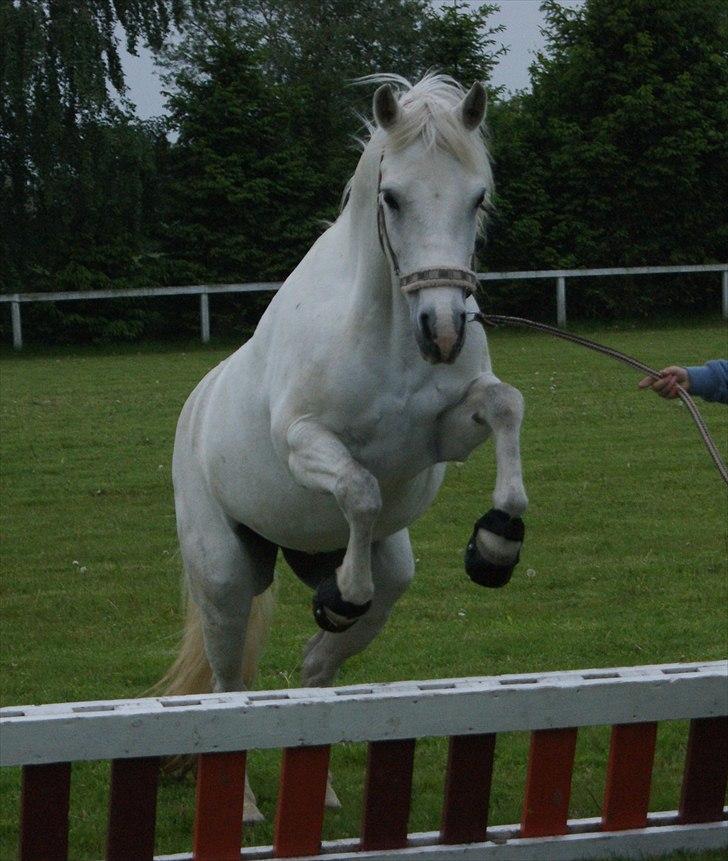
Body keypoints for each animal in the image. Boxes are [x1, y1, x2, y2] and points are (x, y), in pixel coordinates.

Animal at [164, 72, 528, 812]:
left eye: (478, 197)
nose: (443, 330)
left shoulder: (447, 433)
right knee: (227, 685)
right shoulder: (307, 441)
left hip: (391, 572)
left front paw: (496, 542)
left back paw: (323, 790)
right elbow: (359, 487)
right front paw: (345, 590)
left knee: (316, 664)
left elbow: (505, 404)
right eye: (393, 197)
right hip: (225, 578)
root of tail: (196, 407)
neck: (384, 328)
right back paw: (244, 805)